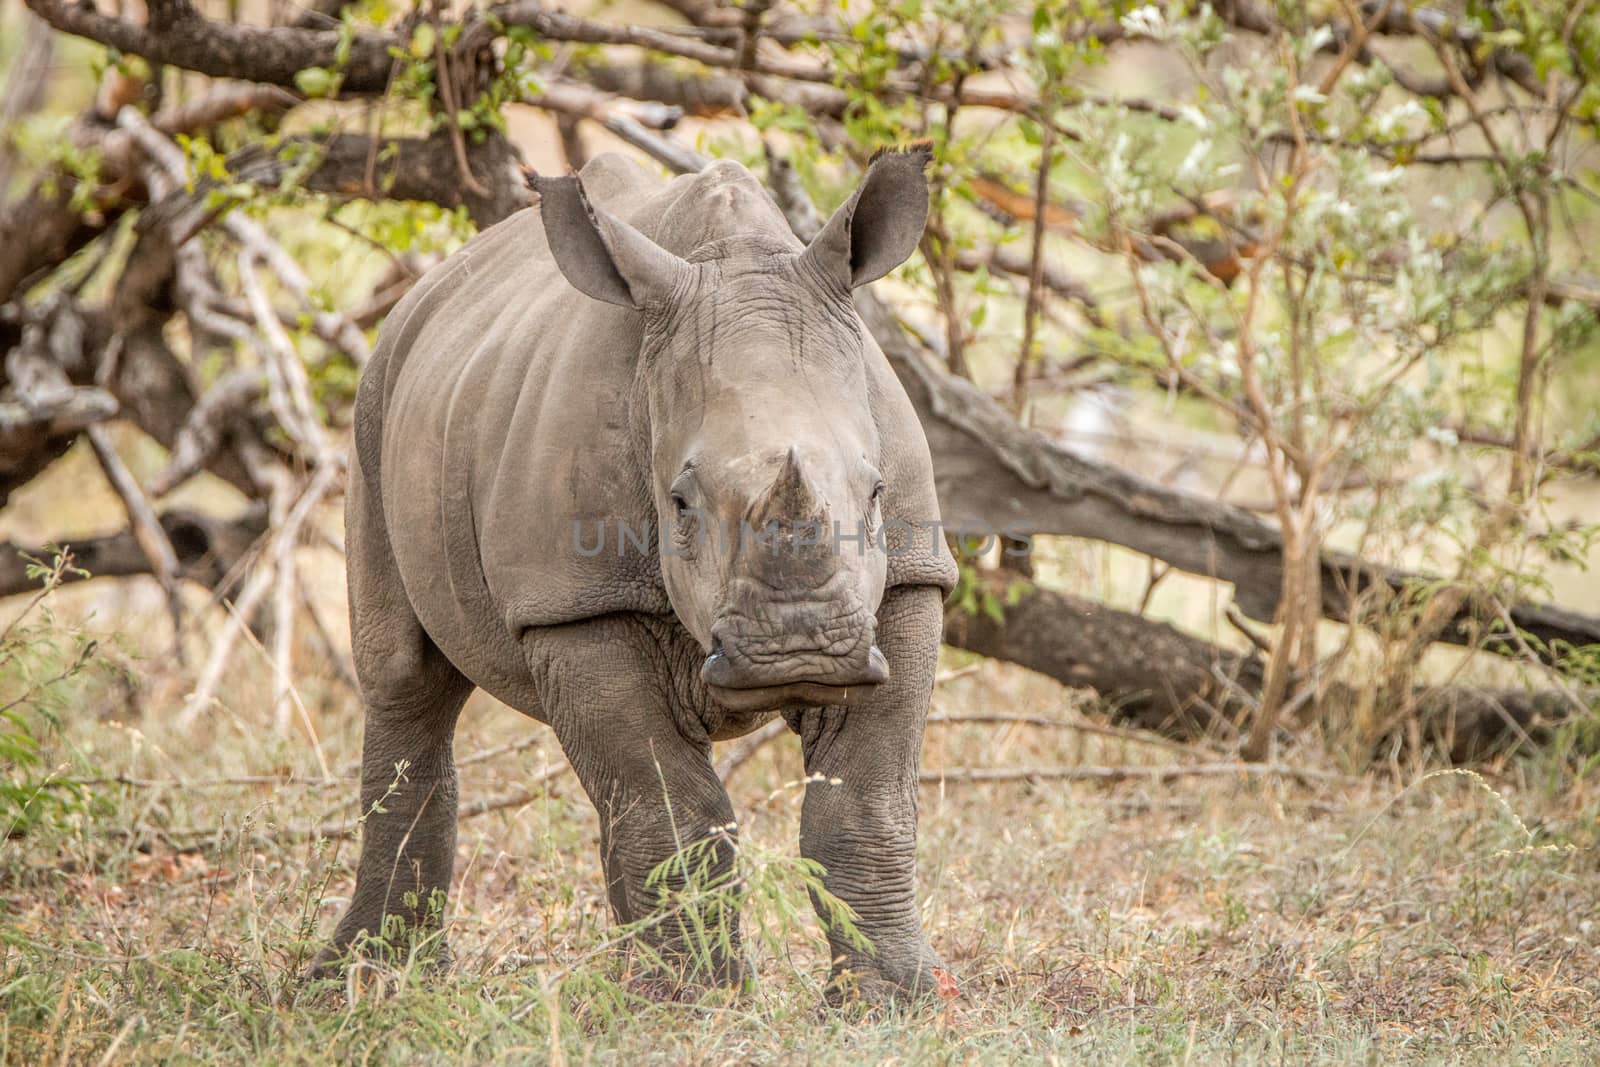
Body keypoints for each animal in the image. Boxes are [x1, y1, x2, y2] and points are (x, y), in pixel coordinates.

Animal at [318, 146, 953, 1004]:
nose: (802, 652)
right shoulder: (576, 604)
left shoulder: (910, 581)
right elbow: (670, 806)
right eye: (680, 501)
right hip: (375, 398)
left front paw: (893, 1000)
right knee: (405, 681)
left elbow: (864, 806)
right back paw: (366, 978)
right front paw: (695, 1002)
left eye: (877, 491)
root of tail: (428, 290)